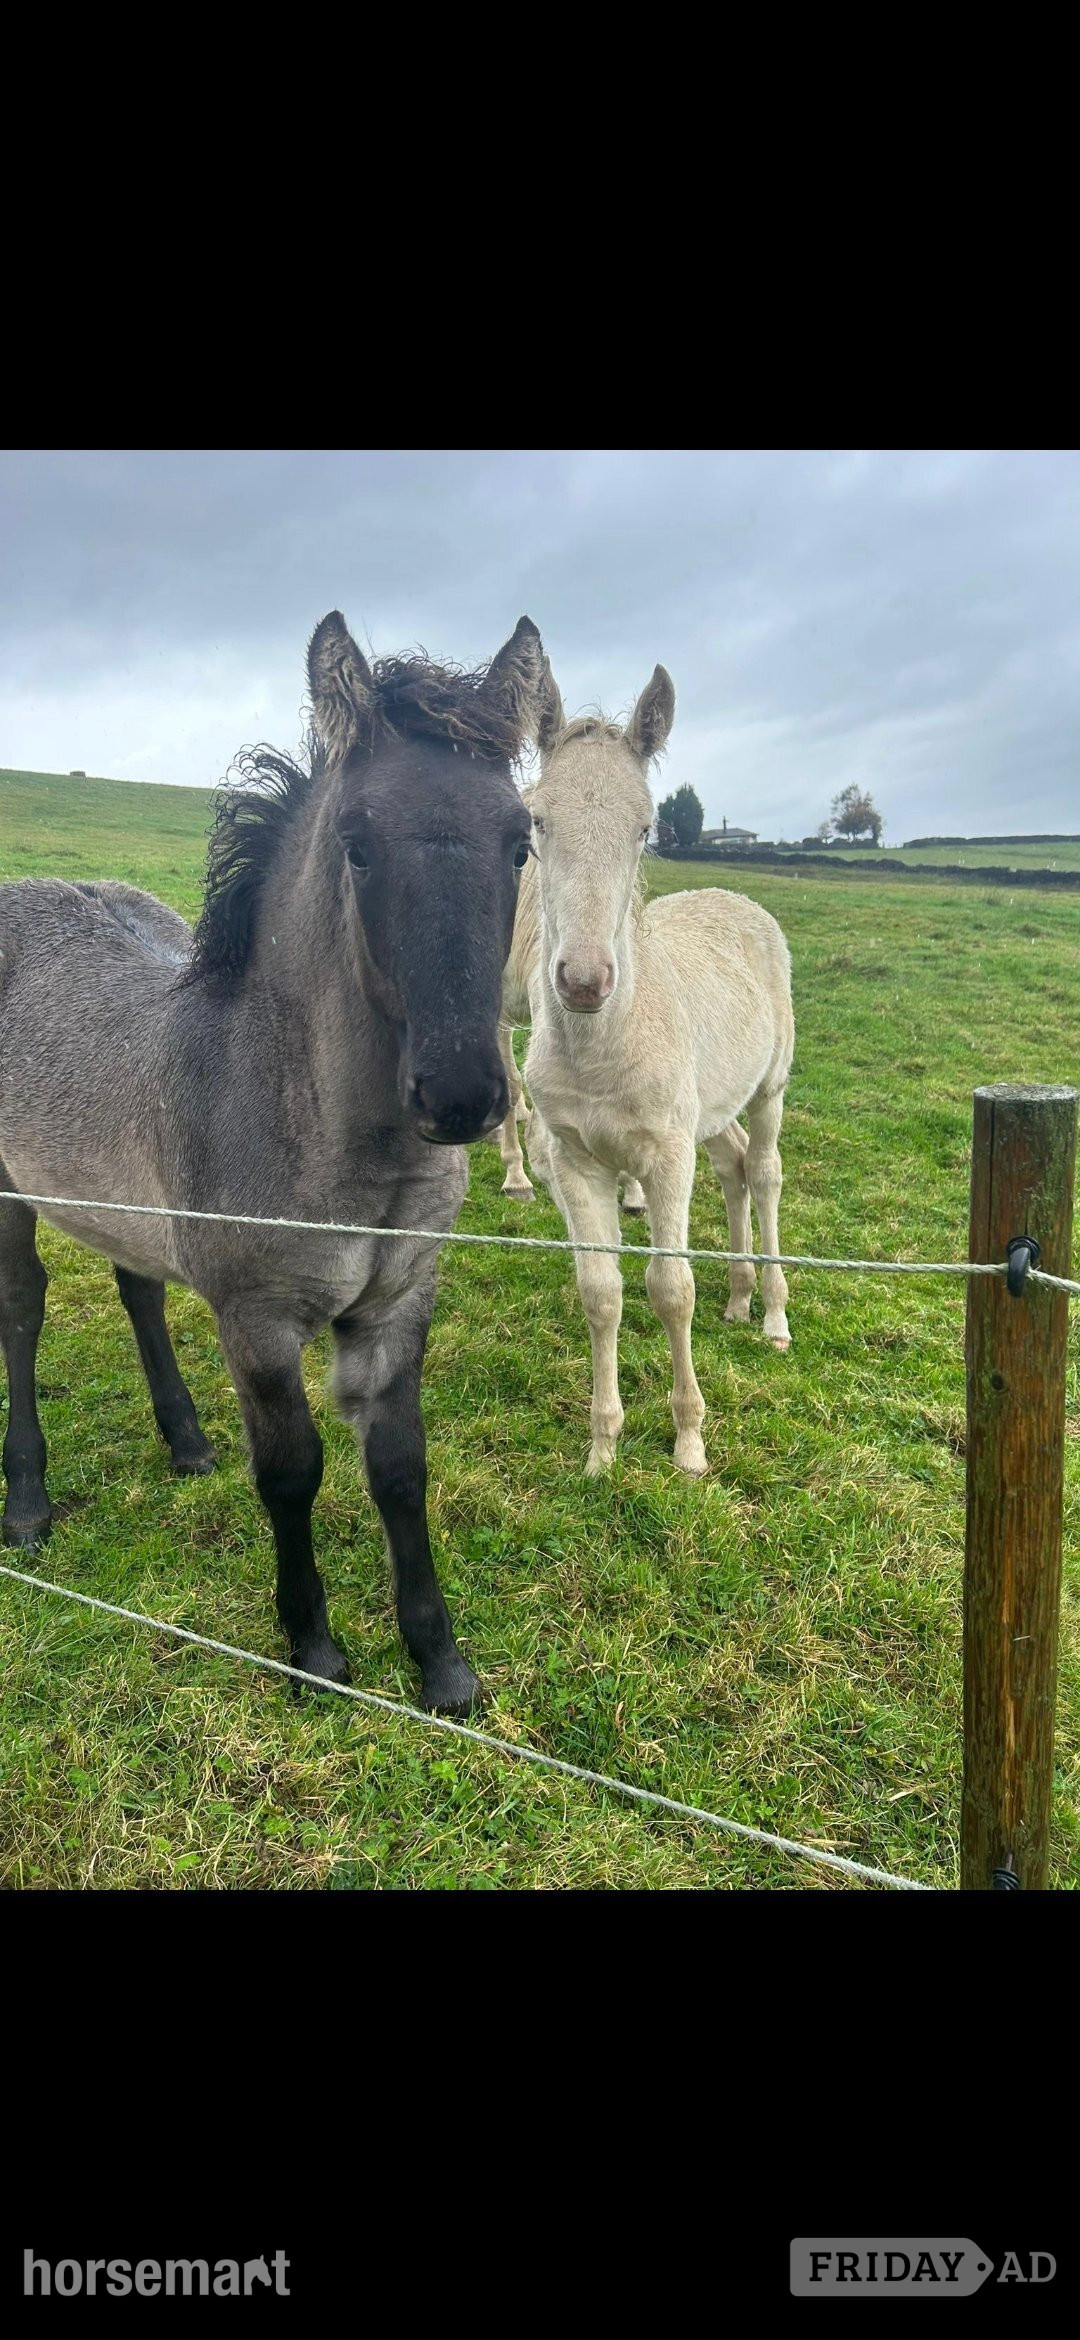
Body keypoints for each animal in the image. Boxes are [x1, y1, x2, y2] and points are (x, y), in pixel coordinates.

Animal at [0, 612, 544, 1713]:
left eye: (520, 842)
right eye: (357, 846)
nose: (462, 1094)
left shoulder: (397, 1304)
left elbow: (400, 1467)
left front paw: (441, 1663)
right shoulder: (256, 1320)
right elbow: (293, 1471)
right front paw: (316, 1651)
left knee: (138, 1289)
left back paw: (185, 1441)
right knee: (21, 1307)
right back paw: (27, 1500)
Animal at [521, 654, 794, 1476]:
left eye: (645, 826)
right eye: (535, 820)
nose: (582, 981)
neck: (604, 1050)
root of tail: (737, 895)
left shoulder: (667, 1155)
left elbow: (671, 1289)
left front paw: (689, 1445)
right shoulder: (576, 1160)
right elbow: (601, 1292)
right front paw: (602, 1449)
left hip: (770, 1087)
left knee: (764, 1171)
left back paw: (773, 1314)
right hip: (710, 1109)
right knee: (732, 1163)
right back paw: (738, 1299)